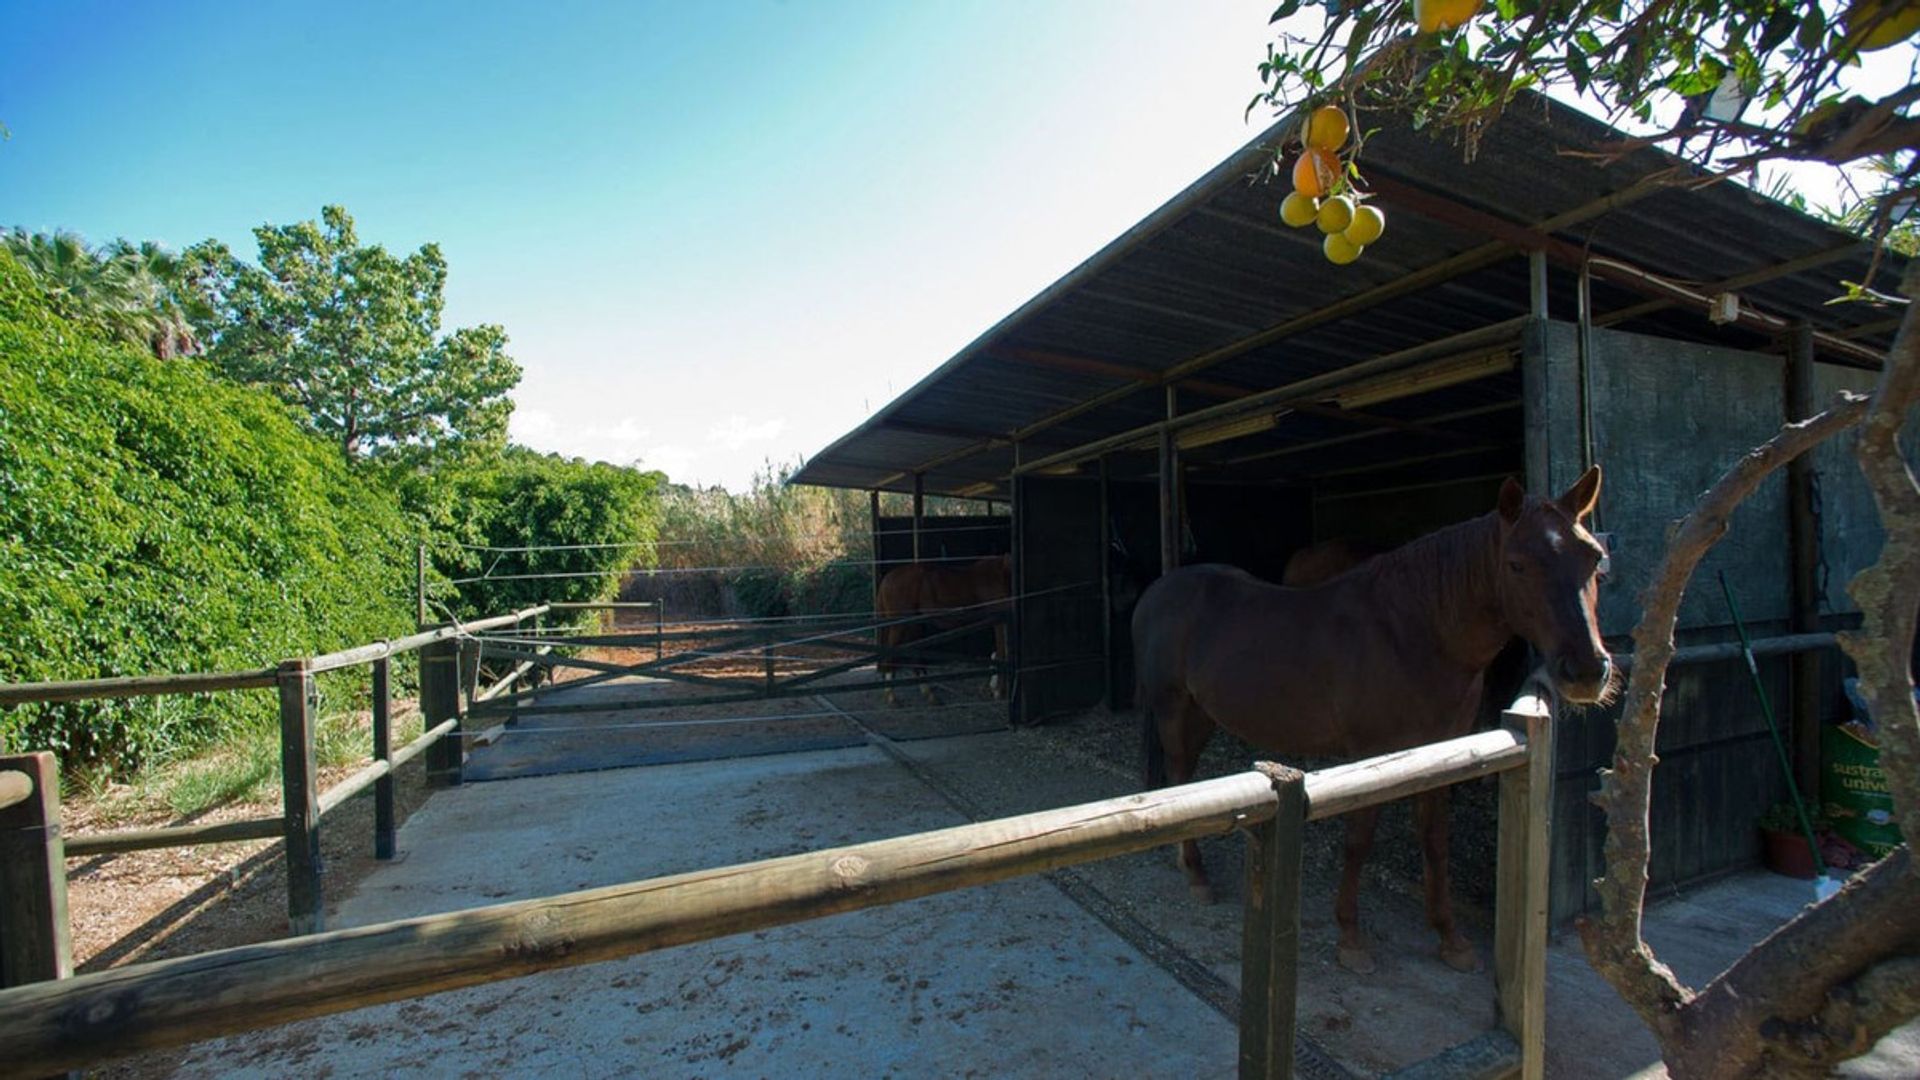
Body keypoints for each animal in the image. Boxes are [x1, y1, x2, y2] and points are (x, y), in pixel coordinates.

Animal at [879, 549, 1013, 703]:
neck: (1003, 572)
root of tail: (887, 578)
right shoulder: (999, 620)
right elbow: (1002, 653)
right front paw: (998, 692)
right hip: (899, 626)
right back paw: (891, 696)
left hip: (914, 624)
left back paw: (929, 694)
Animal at [1128, 466, 1612, 972]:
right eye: (1517, 564)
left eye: (1595, 558)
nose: (1586, 671)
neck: (1413, 632)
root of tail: (1158, 591)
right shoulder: (1371, 754)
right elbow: (1359, 841)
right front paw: (1351, 938)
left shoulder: (1443, 753)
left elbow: (1435, 840)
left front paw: (1451, 938)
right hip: (1174, 707)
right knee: (1179, 769)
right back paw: (1196, 874)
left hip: (1202, 712)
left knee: (1182, 774)